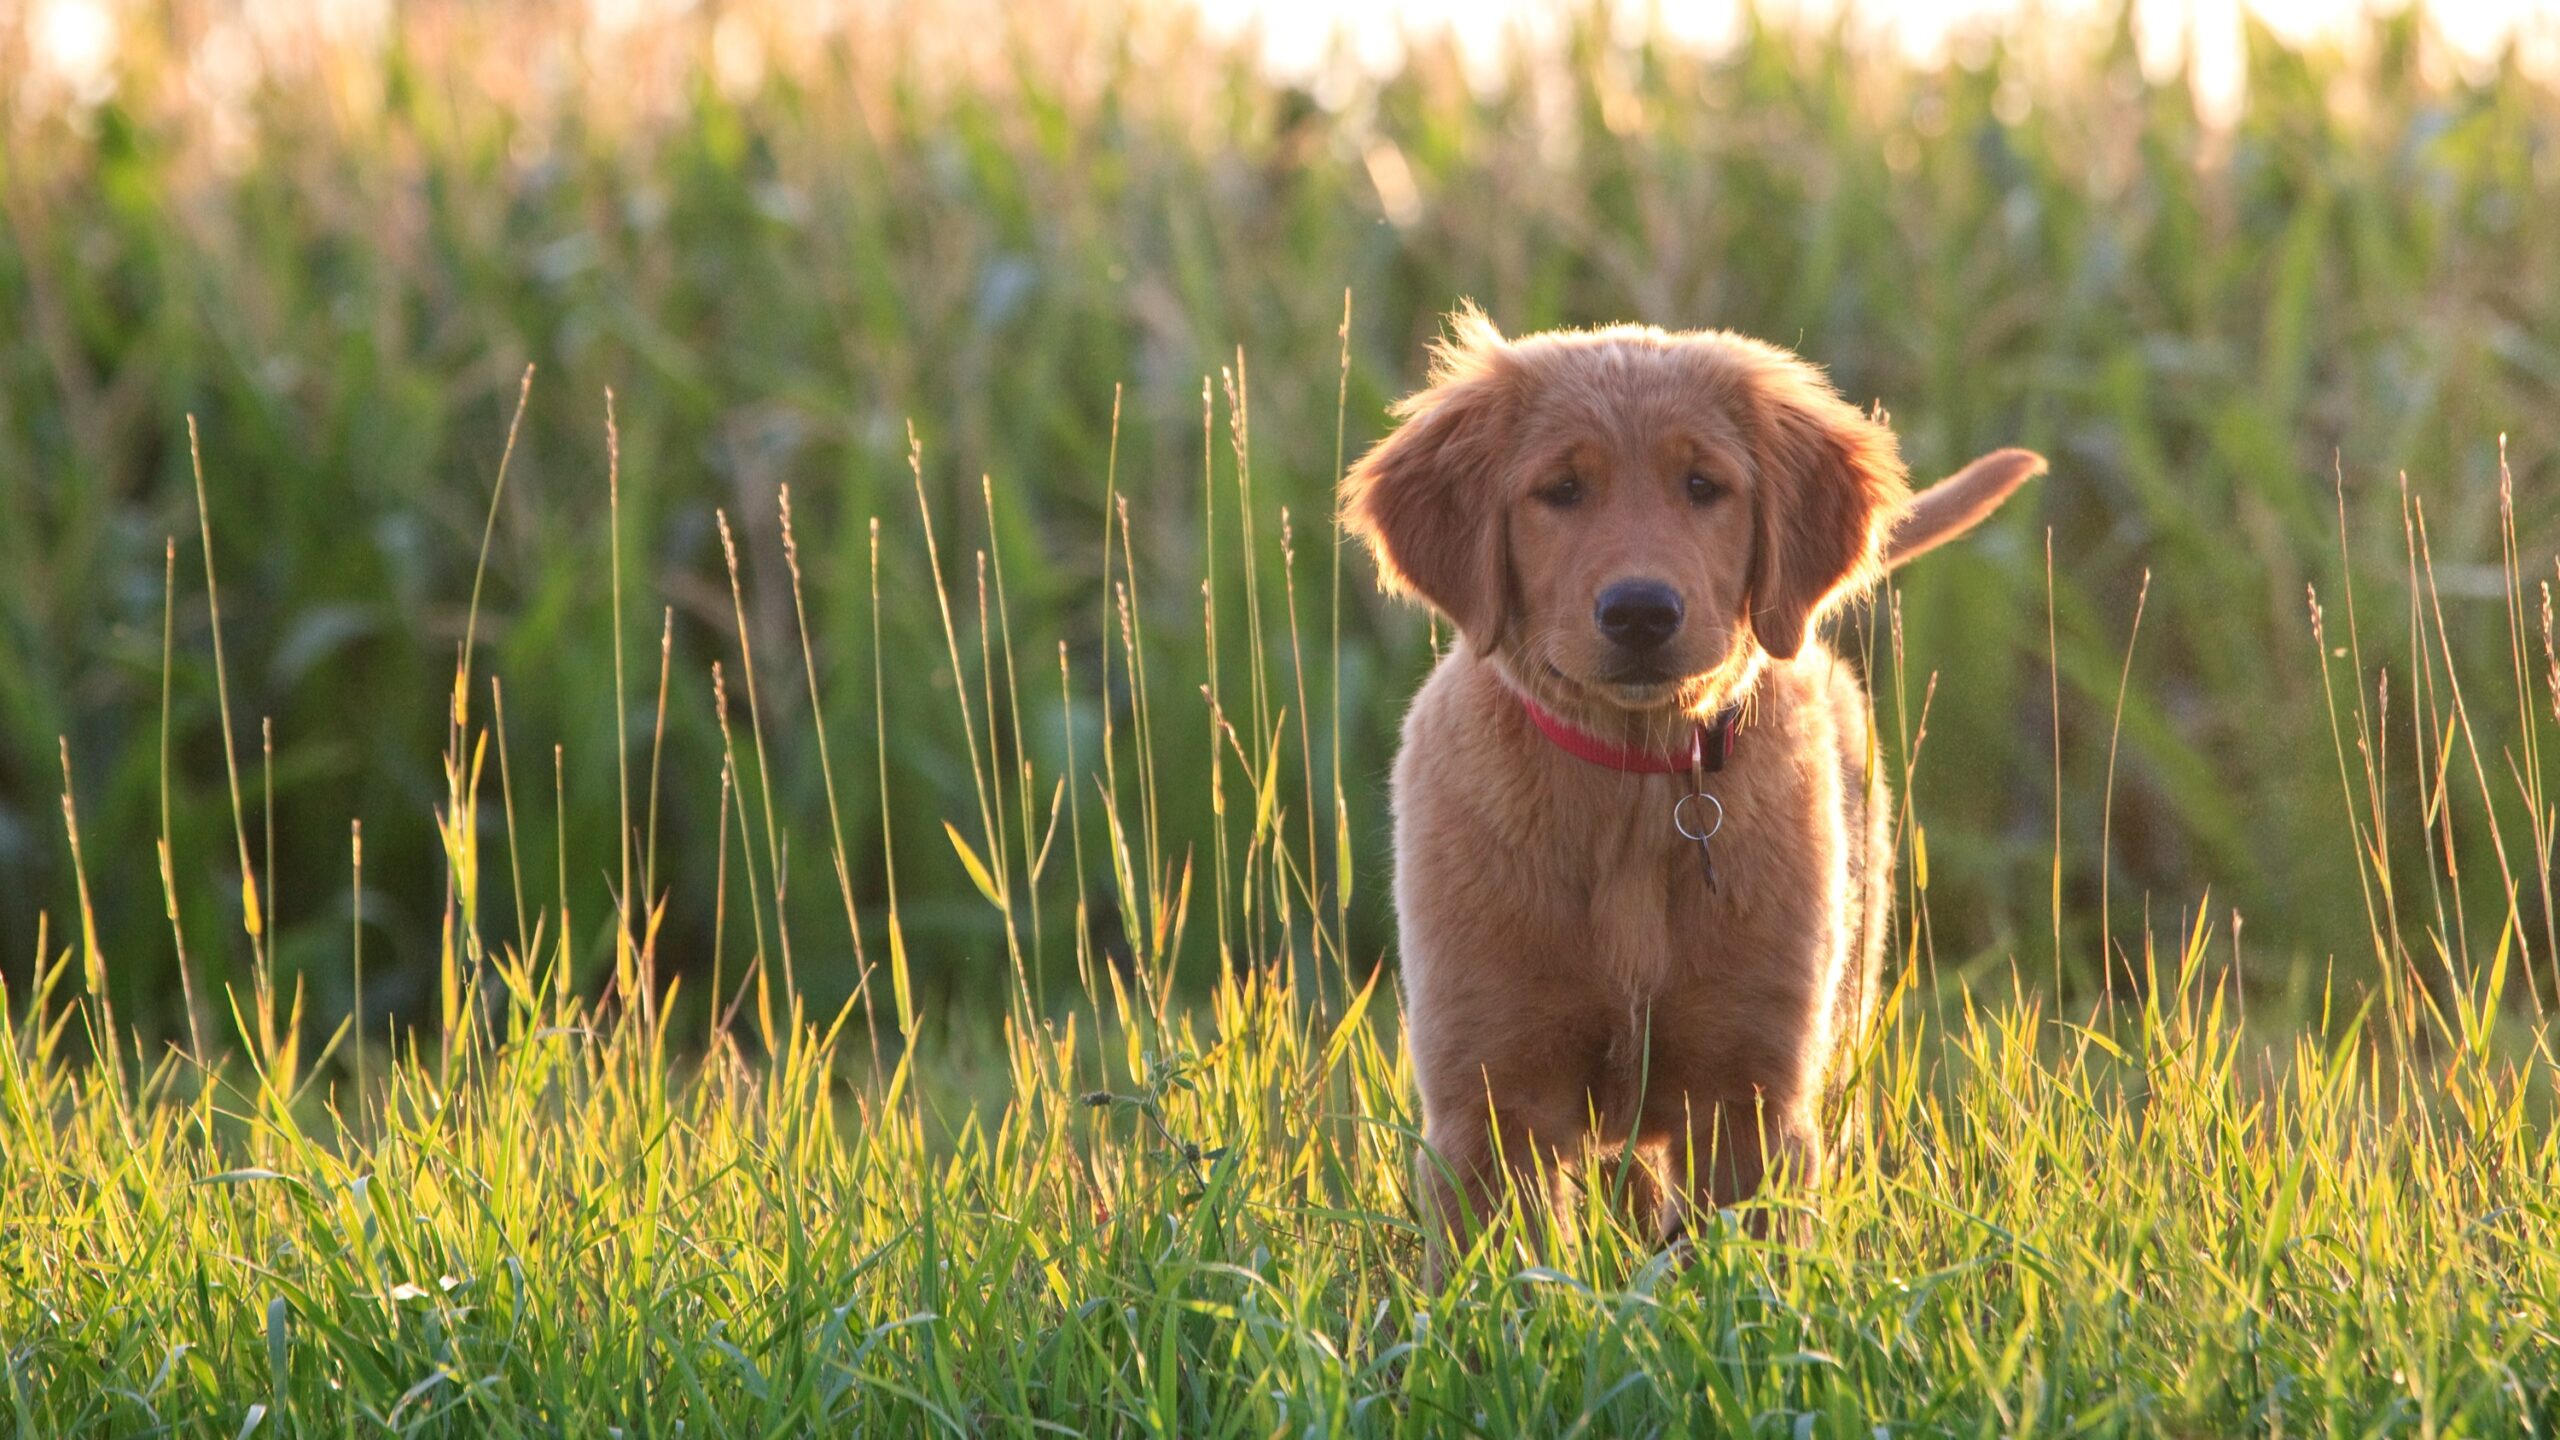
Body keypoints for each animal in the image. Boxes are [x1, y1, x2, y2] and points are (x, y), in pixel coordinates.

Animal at [1341, 302, 2037, 1265]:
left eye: (1703, 486)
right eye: (1562, 490)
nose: (1640, 612)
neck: (1634, 786)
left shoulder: (1750, 1096)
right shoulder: (1490, 1098)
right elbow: (1506, 1269)